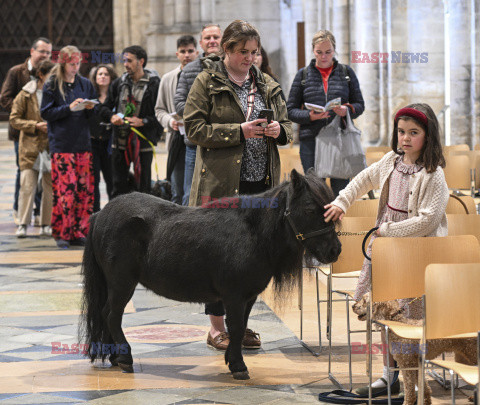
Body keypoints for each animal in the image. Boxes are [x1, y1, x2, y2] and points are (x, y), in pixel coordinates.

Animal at [79, 170, 342, 378]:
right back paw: (125, 358)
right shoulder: (234, 296)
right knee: (111, 315)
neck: (254, 233)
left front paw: (232, 359)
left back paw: (115, 357)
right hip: (122, 283)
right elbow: (235, 327)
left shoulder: (248, 297)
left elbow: (241, 326)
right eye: (310, 208)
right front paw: (238, 366)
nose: (335, 250)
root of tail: (101, 214)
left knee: (107, 315)